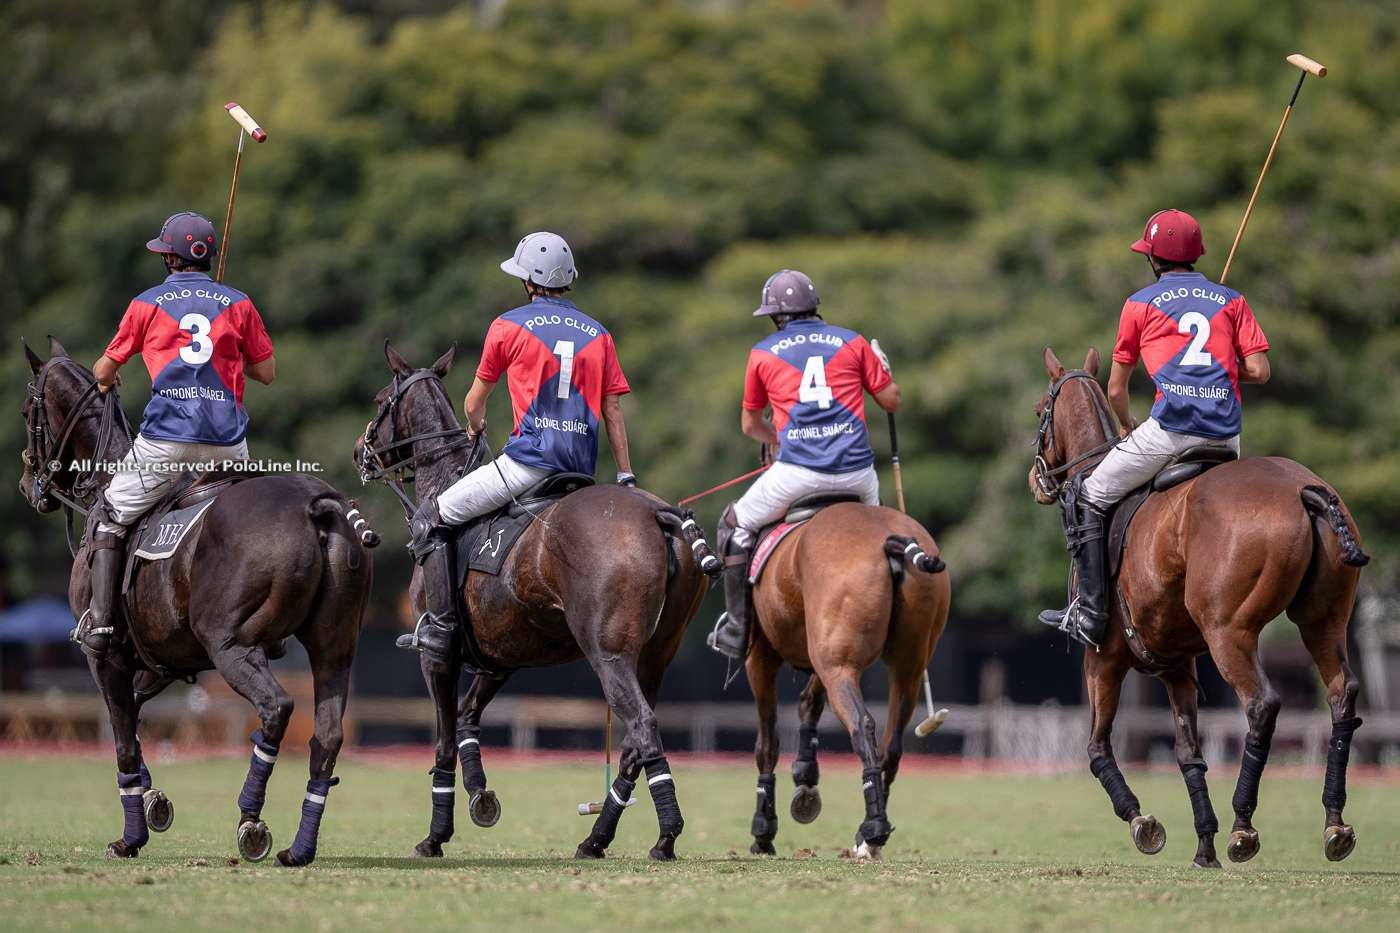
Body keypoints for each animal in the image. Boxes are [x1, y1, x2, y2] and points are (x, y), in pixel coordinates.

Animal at [20, 336, 378, 862]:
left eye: (28, 409)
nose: (29, 486)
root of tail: (319, 503)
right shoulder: (163, 660)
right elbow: (135, 718)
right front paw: (153, 801)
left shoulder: (104, 657)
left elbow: (122, 738)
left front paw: (131, 837)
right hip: (334, 647)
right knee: (327, 734)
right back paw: (299, 847)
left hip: (230, 645)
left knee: (276, 708)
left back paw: (251, 819)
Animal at [355, 341, 716, 857]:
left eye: (380, 400)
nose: (361, 452)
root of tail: (658, 514)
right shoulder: (500, 656)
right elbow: (466, 719)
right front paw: (481, 797)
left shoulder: (436, 654)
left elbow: (443, 738)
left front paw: (435, 835)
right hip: (656, 654)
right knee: (635, 739)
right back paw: (596, 839)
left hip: (607, 652)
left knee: (643, 726)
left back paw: (665, 835)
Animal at [744, 501, 952, 857]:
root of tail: (891, 541)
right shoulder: (821, 653)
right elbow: (809, 703)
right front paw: (805, 779)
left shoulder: (761, 657)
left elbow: (767, 743)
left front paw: (763, 830)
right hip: (904, 665)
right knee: (891, 744)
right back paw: (868, 835)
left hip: (838, 666)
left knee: (862, 725)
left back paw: (873, 828)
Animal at [1030, 347, 1366, 862]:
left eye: (1039, 414)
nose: (1036, 480)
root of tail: (1302, 490)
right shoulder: (1177, 665)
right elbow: (1189, 753)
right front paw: (1203, 845)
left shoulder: (1103, 656)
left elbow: (1096, 748)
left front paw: (1142, 822)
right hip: (1322, 620)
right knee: (1341, 695)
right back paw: (1334, 824)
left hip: (1229, 632)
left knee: (1262, 705)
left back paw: (1243, 828)